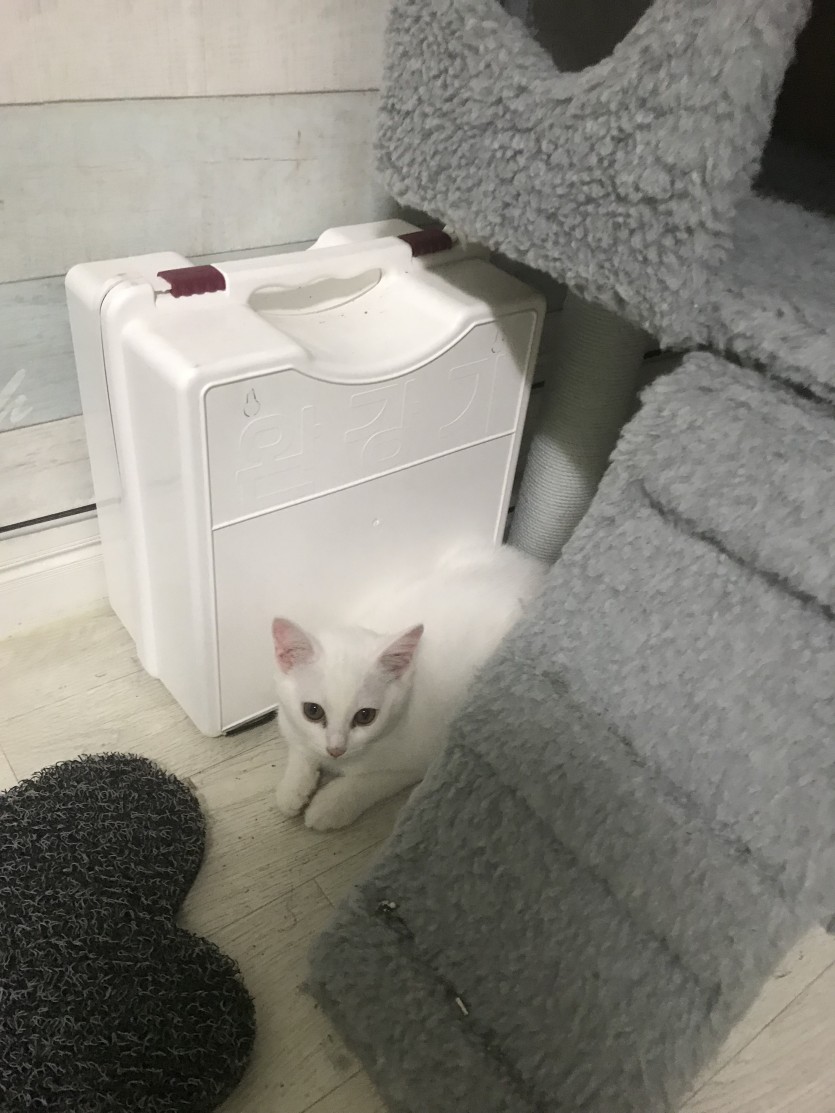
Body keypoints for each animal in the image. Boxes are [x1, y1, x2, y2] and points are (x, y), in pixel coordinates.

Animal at [271, 542, 546, 831]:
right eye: (312, 711)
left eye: (365, 716)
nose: (336, 750)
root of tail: (535, 567)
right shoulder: (288, 719)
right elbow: (300, 750)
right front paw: (292, 789)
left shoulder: (422, 756)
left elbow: (371, 781)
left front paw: (331, 804)